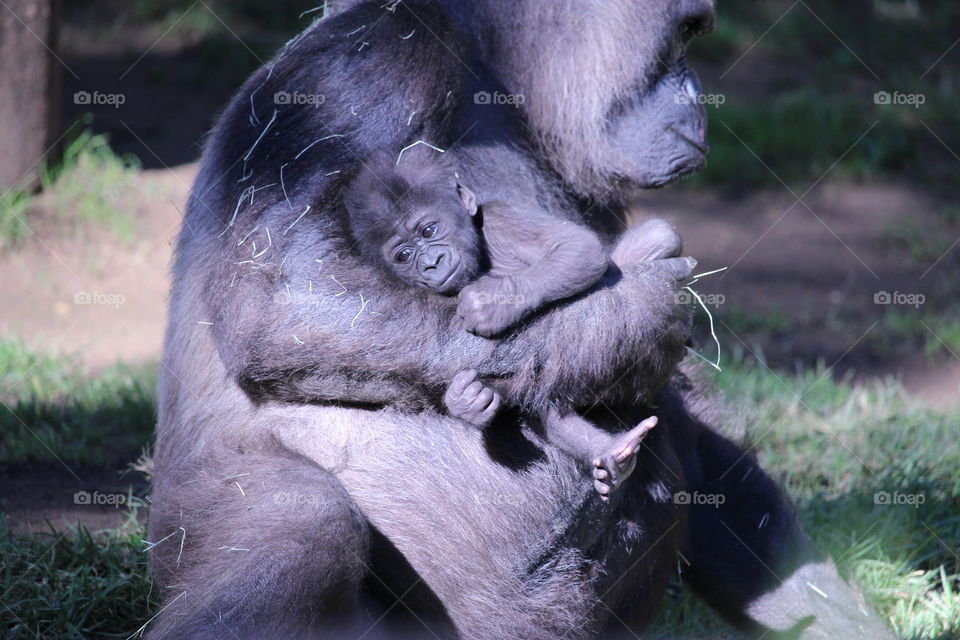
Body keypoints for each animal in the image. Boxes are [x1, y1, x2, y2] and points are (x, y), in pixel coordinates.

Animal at [343, 146, 671, 498]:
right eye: (403, 255)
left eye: (429, 230)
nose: (431, 263)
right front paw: (465, 401)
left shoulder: (500, 219)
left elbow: (577, 248)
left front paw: (493, 304)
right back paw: (610, 453)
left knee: (656, 237)